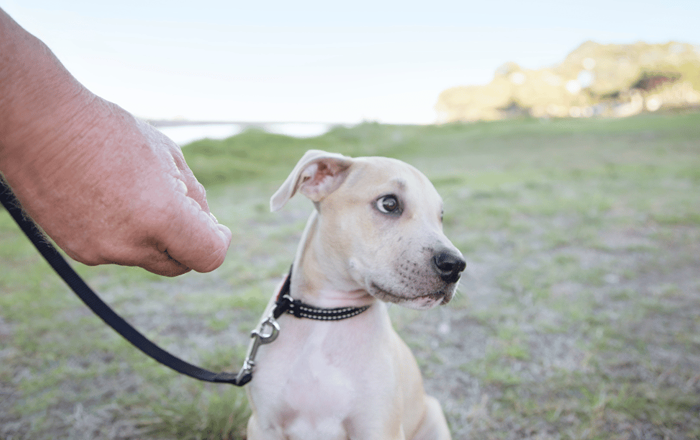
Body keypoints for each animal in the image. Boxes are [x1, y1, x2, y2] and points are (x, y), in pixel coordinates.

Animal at [245, 150, 464, 440]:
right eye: (389, 204)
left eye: (440, 216)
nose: (456, 265)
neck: (327, 315)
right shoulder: (263, 425)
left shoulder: (380, 429)